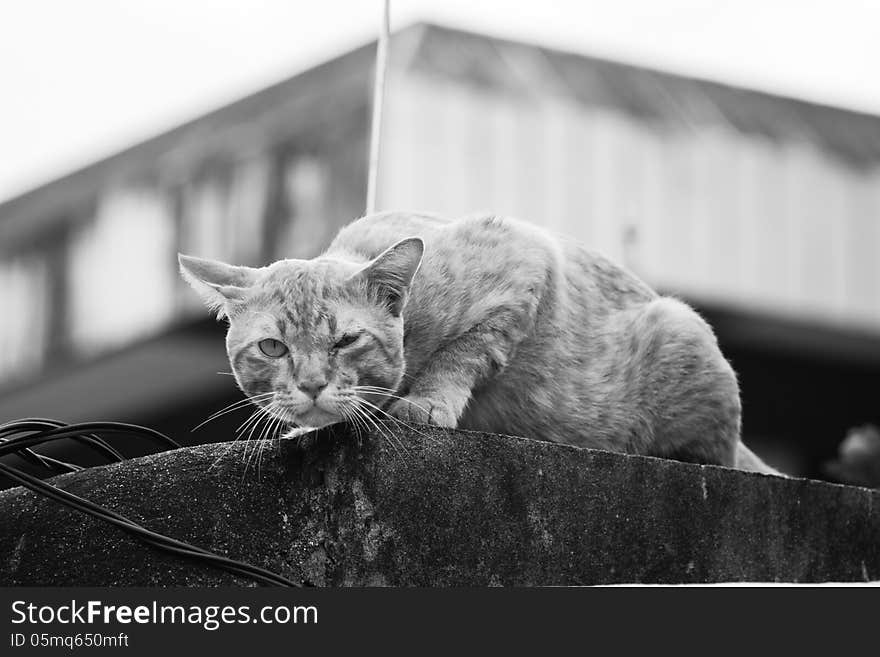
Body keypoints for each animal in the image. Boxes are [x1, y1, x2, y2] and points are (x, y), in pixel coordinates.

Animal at [179, 213, 776, 474]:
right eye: (273, 348)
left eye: (346, 340)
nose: (310, 386)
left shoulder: (526, 255)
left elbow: (466, 351)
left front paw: (425, 400)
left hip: (680, 328)